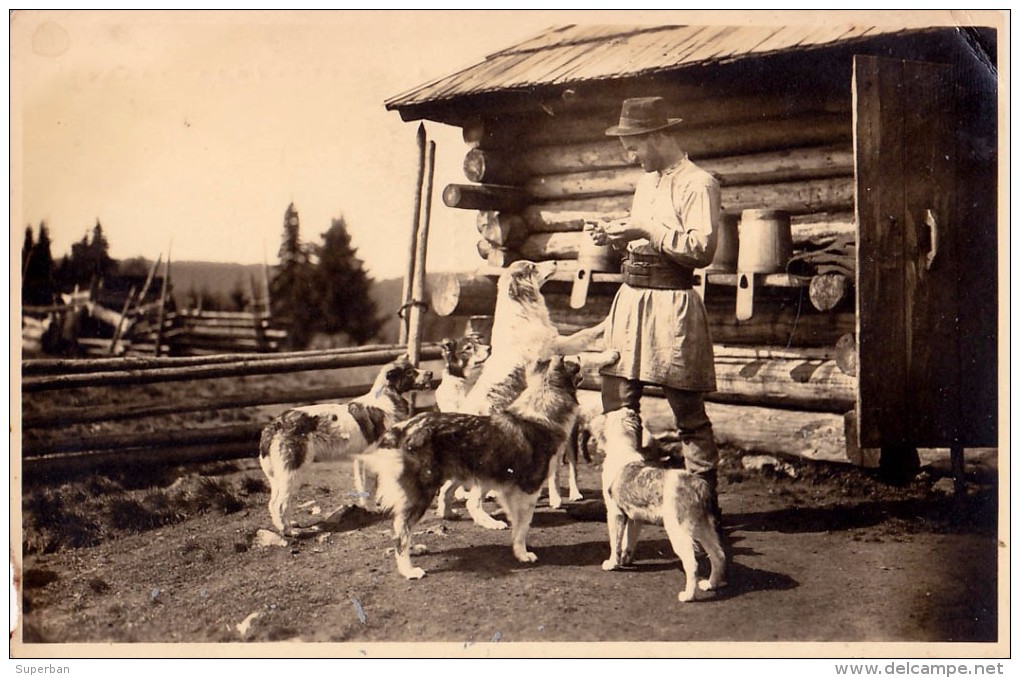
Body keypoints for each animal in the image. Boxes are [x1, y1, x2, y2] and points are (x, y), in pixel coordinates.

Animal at [257, 354, 432, 534]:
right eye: (410, 372)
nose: (430, 373)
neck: (387, 398)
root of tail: (275, 424)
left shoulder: (361, 461)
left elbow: (363, 486)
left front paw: (367, 507)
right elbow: (370, 487)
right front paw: (373, 508)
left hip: (279, 476)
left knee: (273, 503)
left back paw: (286, 527)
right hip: (293, 472)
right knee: (280, 504)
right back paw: (289, 531)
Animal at [359, 350, 583, 579]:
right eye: (573, 364)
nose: (581, 357)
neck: (541, 411)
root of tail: (402, 429)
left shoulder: (510, 491)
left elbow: (517, 525)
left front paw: (516, 548)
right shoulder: (528, 490)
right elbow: (523, 526)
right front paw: (523, 554)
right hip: (421, 493)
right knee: (401, 530)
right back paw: (409, 570)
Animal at [595, 403, 726, 599]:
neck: (622, 448)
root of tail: (698, 484)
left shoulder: (615, 513)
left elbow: (615, 542)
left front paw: (612, 563)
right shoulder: (635, 518)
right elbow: (629, 541)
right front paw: (625, 560)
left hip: (678, 529)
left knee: (692, 563)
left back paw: (688, 596)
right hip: (703, 526)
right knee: (718, 555)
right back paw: (710, 585)